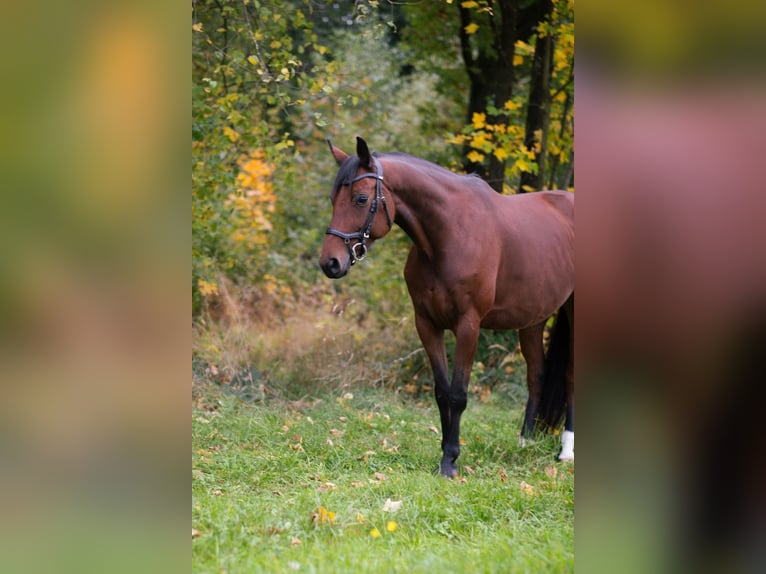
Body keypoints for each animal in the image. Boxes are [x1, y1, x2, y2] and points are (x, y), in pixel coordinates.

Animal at [319, 137, 574, 477]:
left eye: (361, 199)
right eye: (334, 198)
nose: (330, 263)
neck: (450, 234)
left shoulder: (469, 326)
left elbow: (458, 394)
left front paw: (451, 460)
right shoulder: (427, 324)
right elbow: (442, 392)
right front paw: (444, 453)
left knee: (570, 376)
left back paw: (566, 450)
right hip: (532, 320)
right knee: (537, 374)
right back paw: (525, 442)